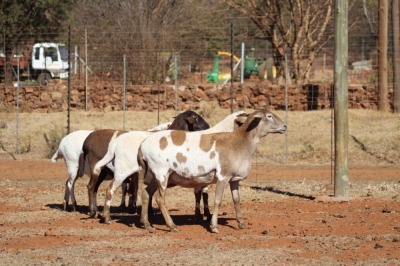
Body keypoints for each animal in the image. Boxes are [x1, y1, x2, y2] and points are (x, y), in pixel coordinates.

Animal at [96, 110, 247, 224]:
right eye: (196, 119)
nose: (207, 126)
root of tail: (116, 141)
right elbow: (202, 194)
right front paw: (203, 215)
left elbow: (200, 194)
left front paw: (201, 214)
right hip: (123, 170)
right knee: (109, 190)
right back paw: (106, 217)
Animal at [138, 108, 288, 233]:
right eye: (269, 116)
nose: (285, 126)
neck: (241, 142)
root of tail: (142, 146)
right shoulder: (223, 176)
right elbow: (217, 200)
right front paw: (214, 226)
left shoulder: (234, 179)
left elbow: (236, 200)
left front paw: (240, 223)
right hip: (161, 172)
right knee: (159, 199)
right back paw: (172, 226)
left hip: (154, 174)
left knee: (146, 194)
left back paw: (147, 225)